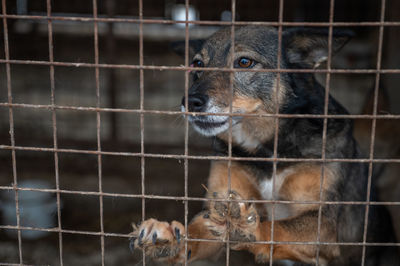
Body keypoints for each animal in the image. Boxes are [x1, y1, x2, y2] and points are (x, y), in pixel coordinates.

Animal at [129, 26, 396, 264]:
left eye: (244, 62)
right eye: (197, 65)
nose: (190, 101)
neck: (265, 149)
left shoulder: (325, 223)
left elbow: (277, 227)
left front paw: (246, 228)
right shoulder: (217, 206)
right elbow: (197, 233)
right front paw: (169, 238)